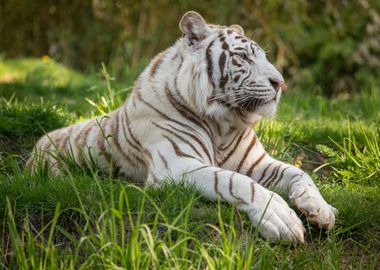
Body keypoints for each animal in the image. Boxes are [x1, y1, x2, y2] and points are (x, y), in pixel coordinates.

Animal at [29, 11, 336, 243]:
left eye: (264, 57)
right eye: (243, 57)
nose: (280, 82)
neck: (223, 123)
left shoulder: (255, 162)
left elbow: (298, 172)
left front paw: (321, 209)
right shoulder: (176, 165)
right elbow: (235, 181)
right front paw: (281, 219)